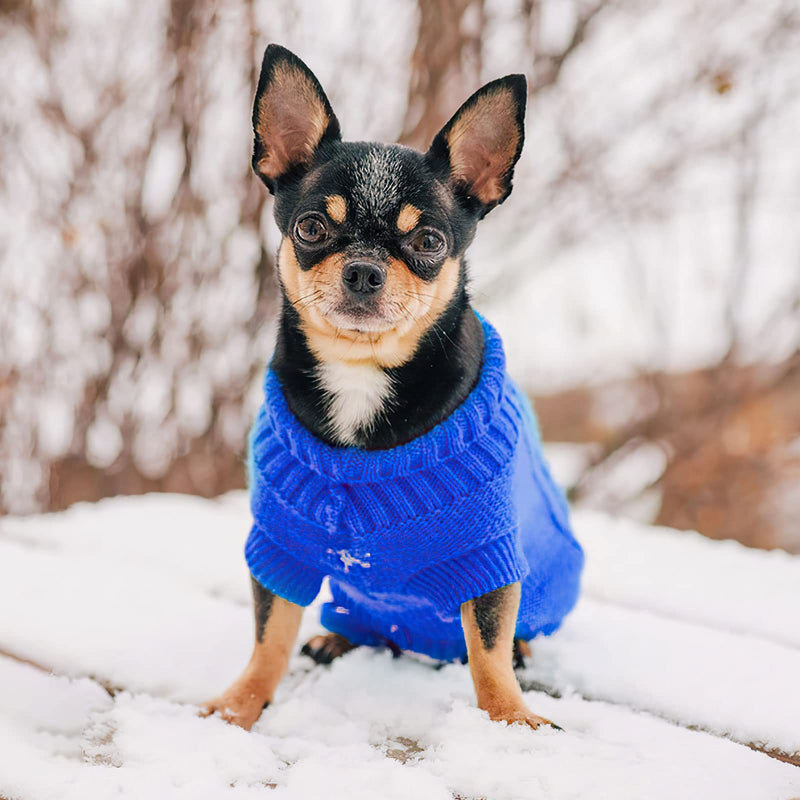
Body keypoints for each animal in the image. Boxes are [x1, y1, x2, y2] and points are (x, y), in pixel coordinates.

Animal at [203, 42, 560, 732]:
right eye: (312, 228)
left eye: (428, 240)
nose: (365, 270)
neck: (360, 370)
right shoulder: (280, 545)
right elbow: (269, 637)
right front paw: (238, 706)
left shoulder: (489, 554)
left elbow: (488, 648)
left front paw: (511, 720)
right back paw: (337, 636)